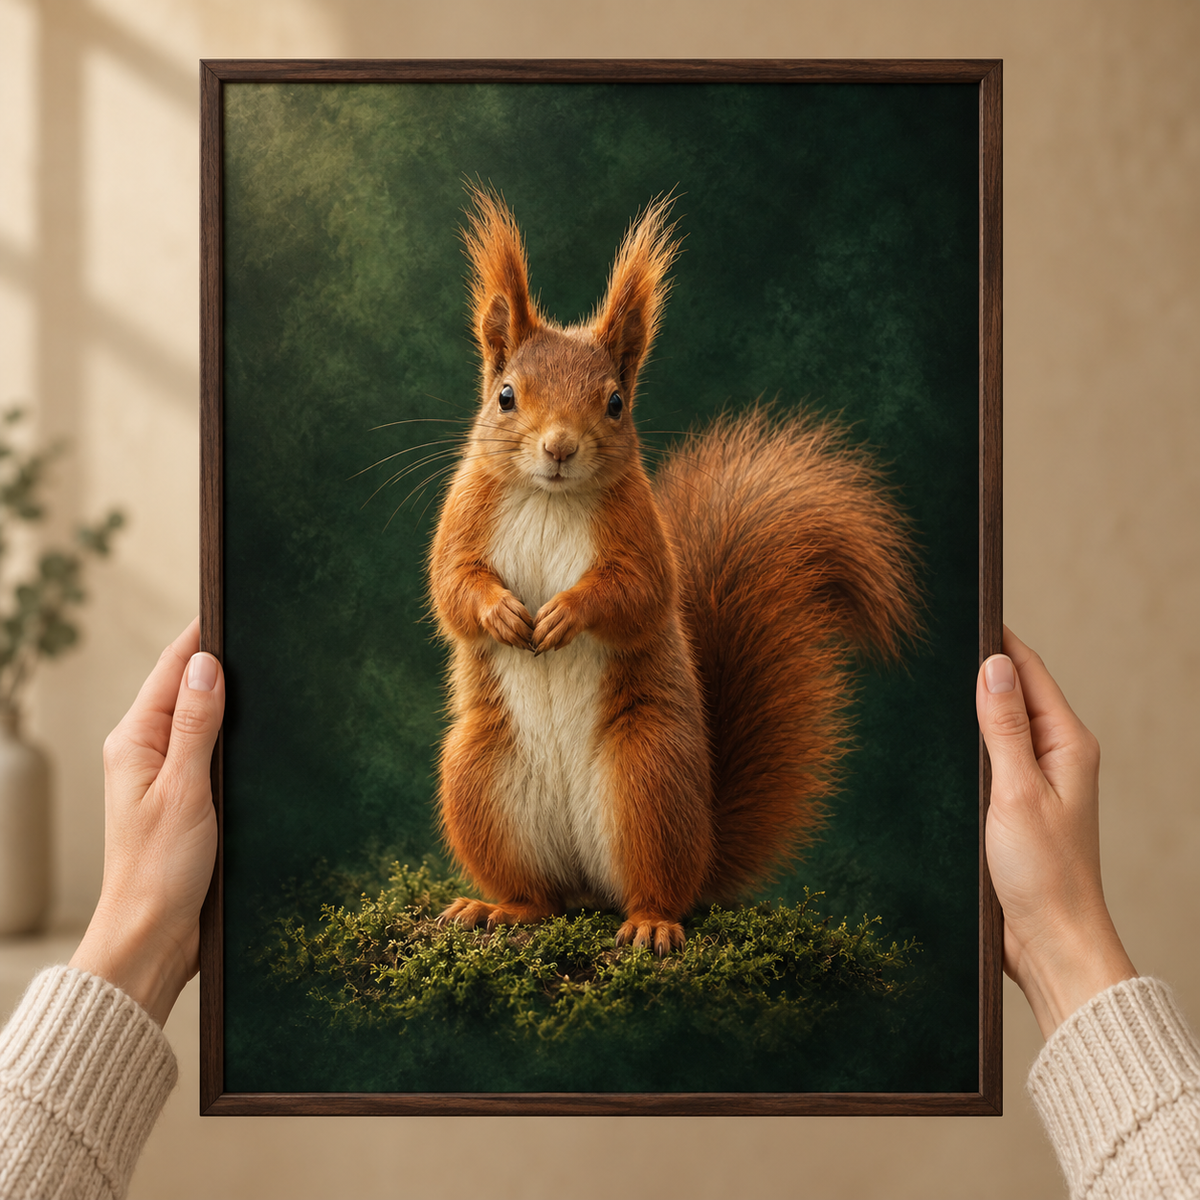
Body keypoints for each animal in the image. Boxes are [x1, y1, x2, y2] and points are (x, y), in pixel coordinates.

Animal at [429, 188, 921, 955]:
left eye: (615, 403)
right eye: (505, 395)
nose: (559, 448)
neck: (549, 496)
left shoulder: (640, 535)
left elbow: (636, 594)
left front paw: (566, 613)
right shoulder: (464, 518)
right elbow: (452, 585)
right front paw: (503, 613)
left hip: (647, 778)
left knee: (655, 886)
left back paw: (651, 922)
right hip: (479, 776)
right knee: (540, 895)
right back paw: (501, 908)